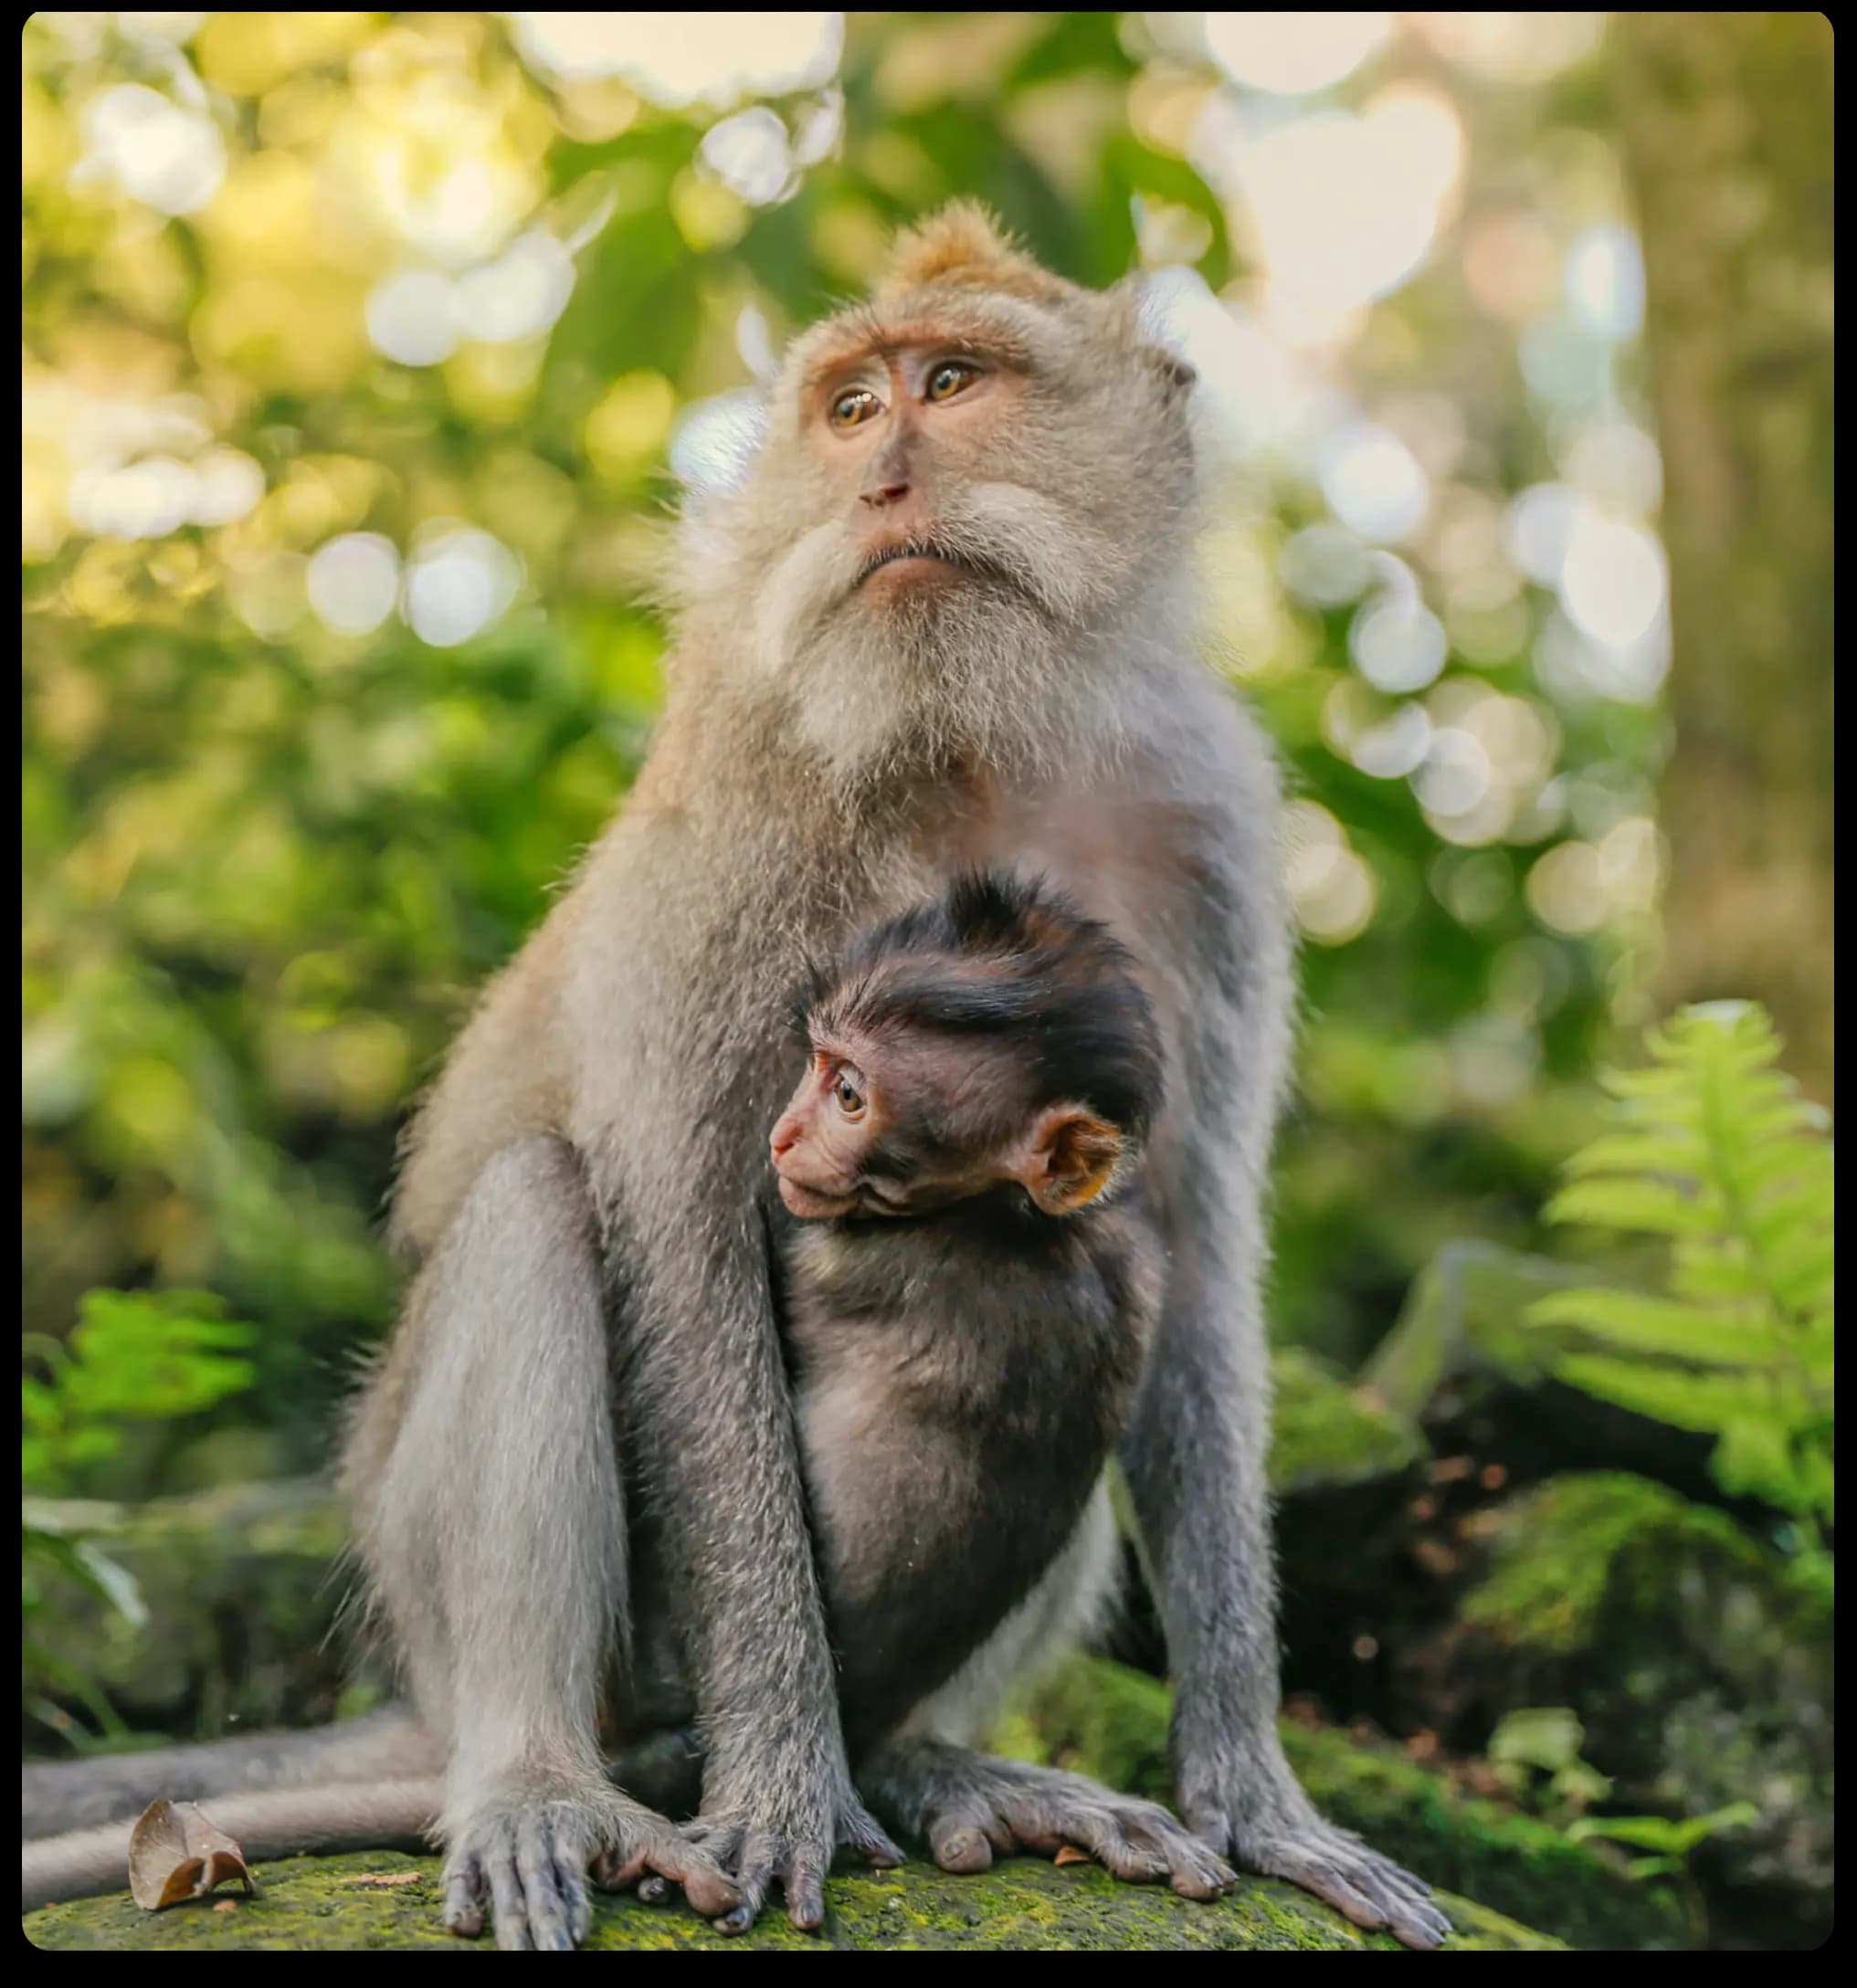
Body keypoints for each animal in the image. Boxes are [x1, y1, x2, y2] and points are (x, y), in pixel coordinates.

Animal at [22, 204, 1448, 1950]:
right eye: (850, 407)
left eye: (951, 383)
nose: (879, 482)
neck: (972, 729)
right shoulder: (744, 818)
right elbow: (682, 1218)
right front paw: (783, 1782)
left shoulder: (1208, 830)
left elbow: (1185, 1241)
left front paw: (1252, 1790)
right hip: (479, 1600)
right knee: (538, 1210)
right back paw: (546, 1778)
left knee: (1091, 1267)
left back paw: (930, 1760)